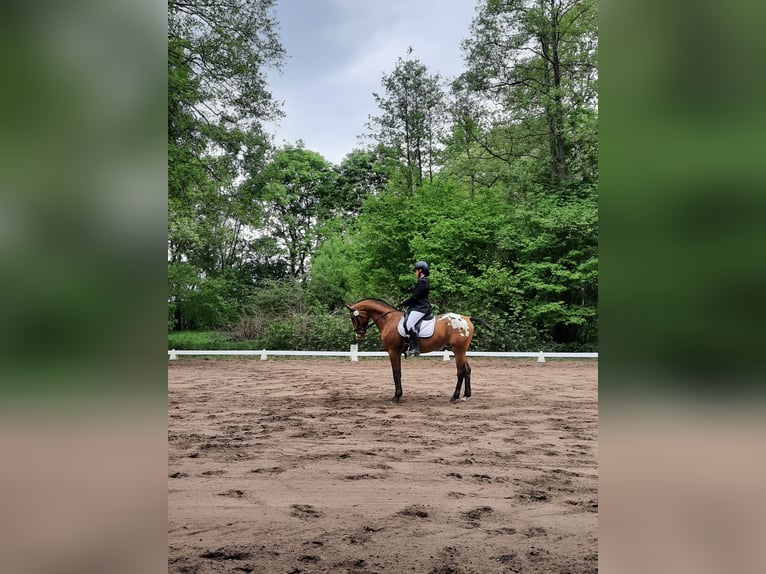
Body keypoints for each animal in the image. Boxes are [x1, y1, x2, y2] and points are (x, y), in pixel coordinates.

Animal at [346, 300, 476, 402]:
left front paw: (397, 396)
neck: (388, 319)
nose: (359, 334)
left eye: (353, 317)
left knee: (460, 372)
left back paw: (455, 397)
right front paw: (398, 395)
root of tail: (466, 318)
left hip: (458, 351)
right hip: (460, 351)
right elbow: (398, 373)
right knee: (467, 370)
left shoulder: (393, 351)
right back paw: (466, 396)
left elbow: (396, 373)